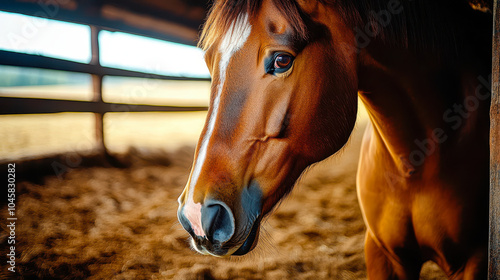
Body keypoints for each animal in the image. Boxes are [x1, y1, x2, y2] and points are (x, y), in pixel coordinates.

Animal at [177, 0, 492, 278]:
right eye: (209, 61)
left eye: (282, 60)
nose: (197, 216)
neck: (416, 163)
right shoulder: (383, 254)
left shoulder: (477, 260)